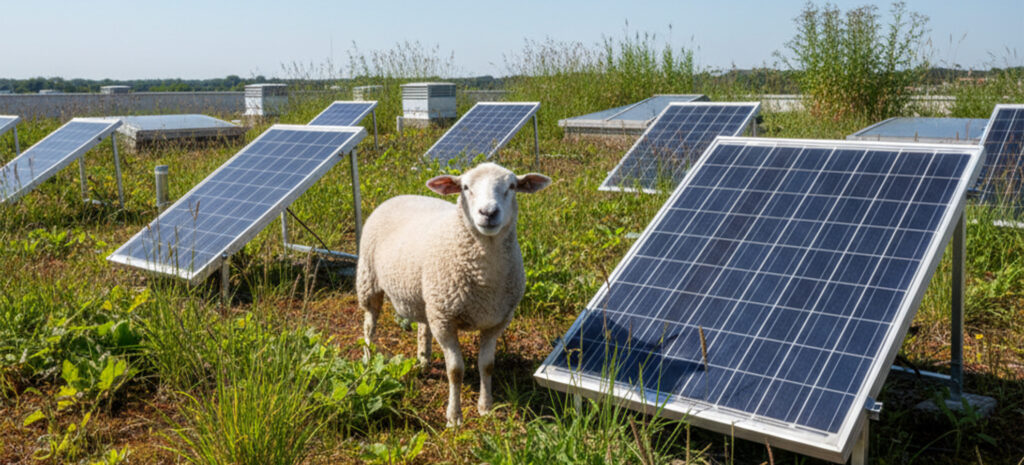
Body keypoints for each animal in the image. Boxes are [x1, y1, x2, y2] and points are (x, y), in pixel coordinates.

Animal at [356, 162, 551, 426]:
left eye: (511, 186)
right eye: (465, 187)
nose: (488, 212)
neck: (485, 278)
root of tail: (398, 195)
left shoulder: (496, 321)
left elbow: (487, 365)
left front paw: (485, 406)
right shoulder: (445, 321)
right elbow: (455, 371)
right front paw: (454, 417)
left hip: (426, 295)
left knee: (423, 325)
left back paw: (423, 360)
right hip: (369, 280)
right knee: (369, 325)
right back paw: (368, 360)